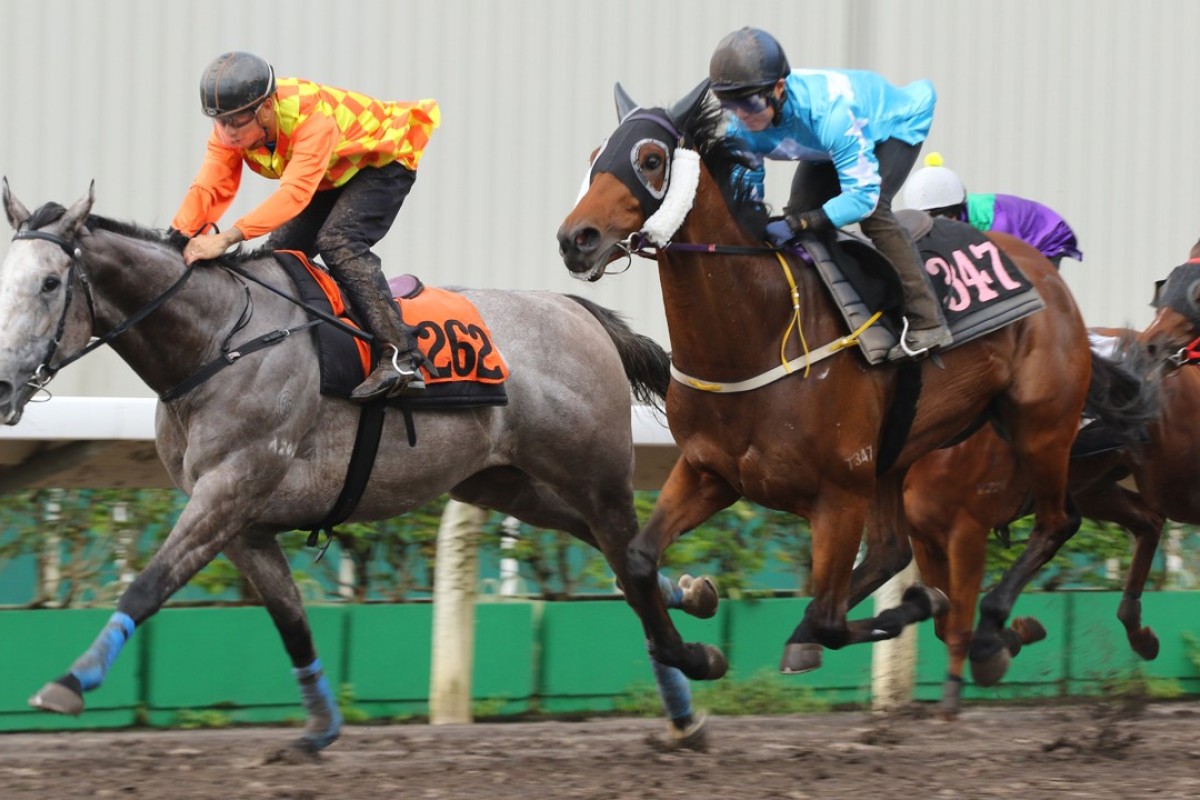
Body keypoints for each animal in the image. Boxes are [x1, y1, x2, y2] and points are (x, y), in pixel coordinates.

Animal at [0, 179, 710, 753]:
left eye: (50, 283)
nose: (4, 386)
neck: (218, 342)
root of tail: (575, 308)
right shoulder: (242, 522)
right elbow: (290, 621)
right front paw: (319, 729)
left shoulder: (229, 489)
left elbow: (147, 586)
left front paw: (71, 681)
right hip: (502, 484)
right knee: (615, 554)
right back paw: (691, 621)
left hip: (594, 472)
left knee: (627, 554)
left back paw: (689, 660)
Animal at [556, 84, 1156, 690]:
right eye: (594, 158)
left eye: (651, 160)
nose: (575, 239)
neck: (759, 332)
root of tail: (1049, 278)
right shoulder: (710, 472)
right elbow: (636, 562)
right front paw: (697, 653)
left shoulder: (838, 495)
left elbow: (831, 619)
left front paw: (917, 609)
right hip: (896, 456)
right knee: (893, 552)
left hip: (1040, 424)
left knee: (1057, 522)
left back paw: (993, 632)